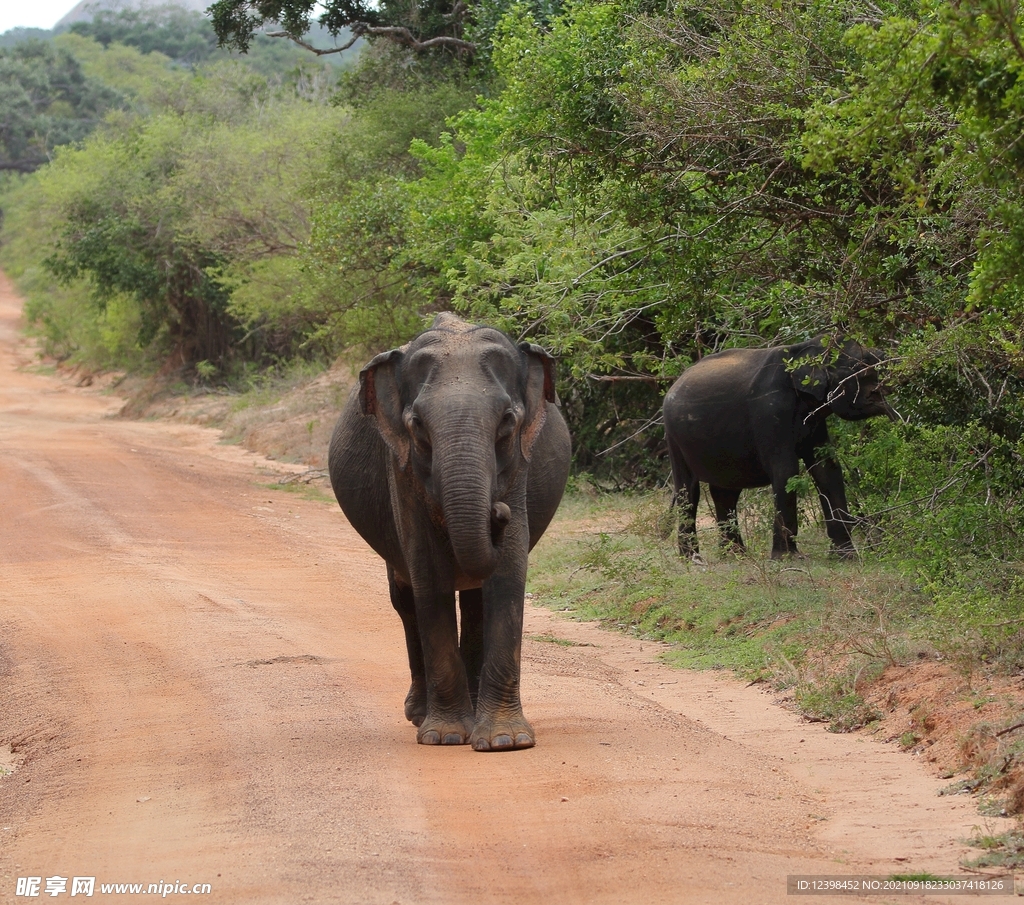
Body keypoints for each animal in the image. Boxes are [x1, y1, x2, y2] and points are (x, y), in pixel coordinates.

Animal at [327, 311, 573, 749]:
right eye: (417, 426)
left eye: (508, 422)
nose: (497, 511)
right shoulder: (402, 470)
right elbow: (429, 576)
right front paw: (444, 737)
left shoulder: (519, 467)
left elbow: (508, 575)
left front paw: (506, 741)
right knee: (406, 599)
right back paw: (420, 715)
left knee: (474, 602)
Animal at [663, 333, 897, 556]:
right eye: (861, 367)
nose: (895, 416)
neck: (805, 349)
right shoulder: (769, 410)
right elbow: (786, 470)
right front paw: (787, 557)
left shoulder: (815, 421)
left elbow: (827, 469)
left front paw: (846, 555)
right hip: (674, 437)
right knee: (687, 490)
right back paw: (693, 559)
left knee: (725, 492)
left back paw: (736, 555)